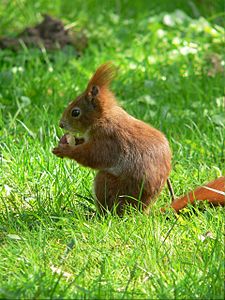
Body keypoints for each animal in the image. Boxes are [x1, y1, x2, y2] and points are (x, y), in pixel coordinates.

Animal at [53, 62, 225, 214]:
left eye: (75, 112)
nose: (61, 124)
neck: (103, 117)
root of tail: (141, 212)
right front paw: (70, 141)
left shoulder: (108, 139)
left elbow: (92, 156)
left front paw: (65, 150)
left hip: (110, 185)